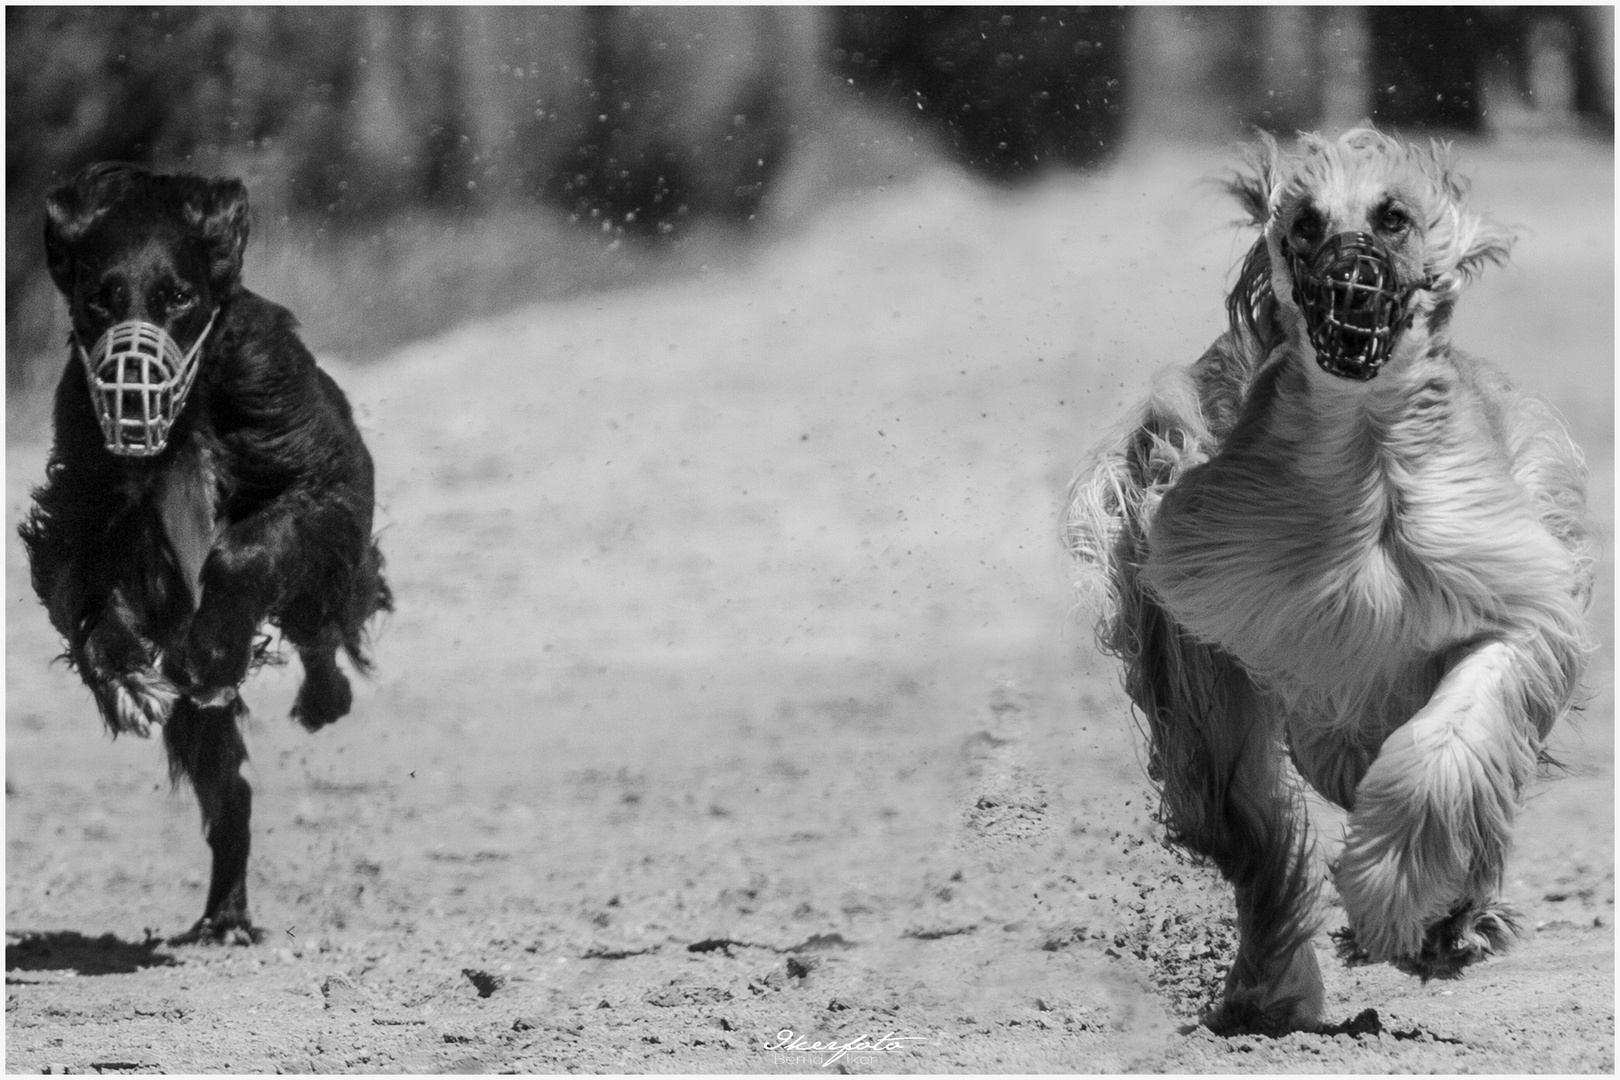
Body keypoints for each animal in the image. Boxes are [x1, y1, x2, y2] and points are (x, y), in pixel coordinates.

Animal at [19, 160, 392, 945]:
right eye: (100, 298)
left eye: (178, 297)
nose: (131, 397)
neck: (185, 419)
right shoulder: (83, 499)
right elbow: (83, 586)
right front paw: (125, 678)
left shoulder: (314, 472)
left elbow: (244, 552)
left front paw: (213, 649)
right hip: (207, 726)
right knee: (230, 793)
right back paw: (225, 913)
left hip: (323, 585)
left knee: (319, 635)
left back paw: (321, 698)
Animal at [1062, 131, 1594, 1036]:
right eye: (1304, 224)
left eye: (1393, 216)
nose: (1350, 283)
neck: (1364, 453)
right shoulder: (1202, 604)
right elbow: (1248, 818)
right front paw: (1280, 981)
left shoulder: (1508, 595)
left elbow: (1453, 744)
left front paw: (1394, 898)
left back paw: (1456, 919)